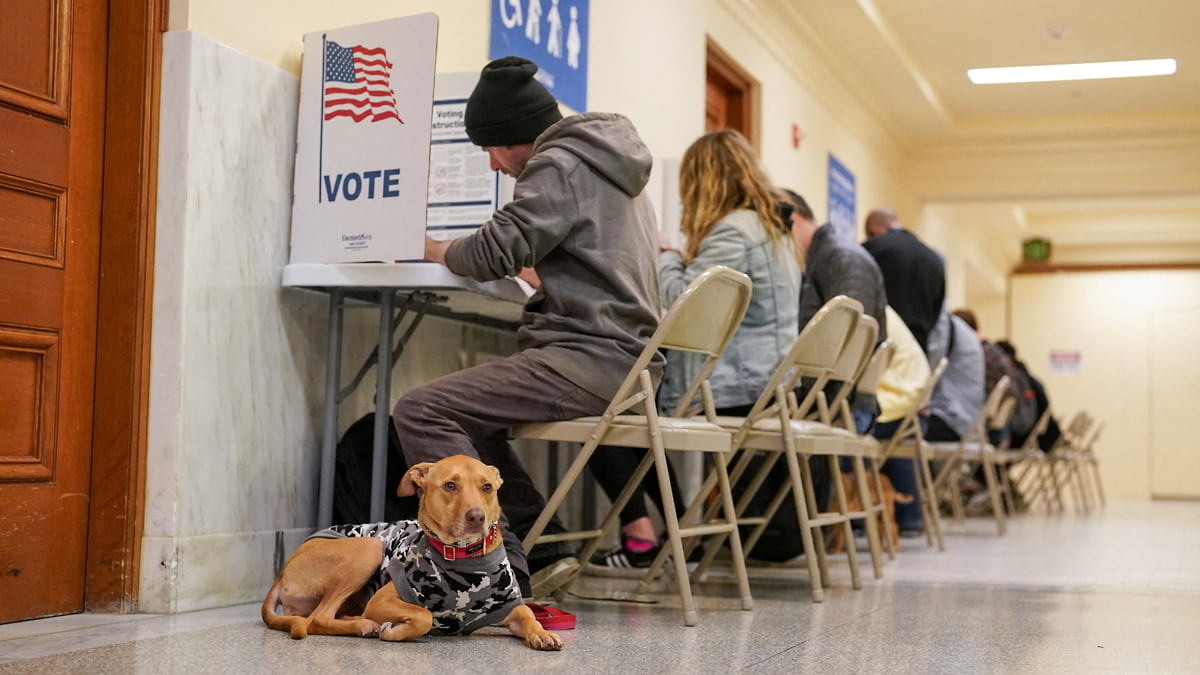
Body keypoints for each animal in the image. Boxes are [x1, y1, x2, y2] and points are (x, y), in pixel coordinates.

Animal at [262, 451, 561, 648]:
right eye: (450, 485)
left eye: (487, 487)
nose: (477, 517)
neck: (465, 560)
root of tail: (284, 570)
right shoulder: (382, 600)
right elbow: (424, 615)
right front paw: (394, 631)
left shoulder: (509, 607)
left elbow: (530, 615)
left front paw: (542, 633)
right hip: (370, 547)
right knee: (317, 619)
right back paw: (363, 624)